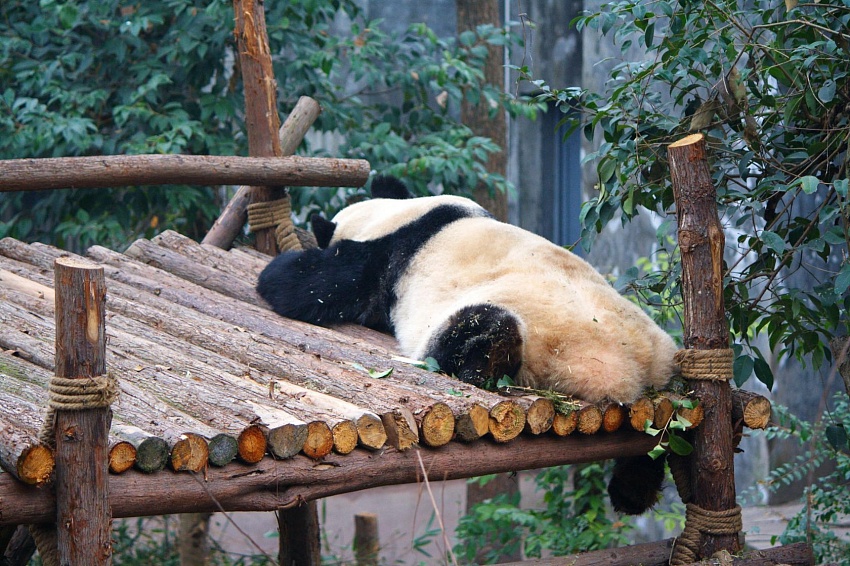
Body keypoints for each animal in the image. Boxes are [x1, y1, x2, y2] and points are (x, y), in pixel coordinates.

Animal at [255, 175, 680, 516]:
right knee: (653, 440)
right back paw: (631, 493)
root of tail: (623, 373)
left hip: (523, 327)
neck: (399, 214)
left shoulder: (381, 259)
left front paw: (277, 273)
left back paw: (489, 354)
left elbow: (318, 285)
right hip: (657, 381)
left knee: (474, 327)